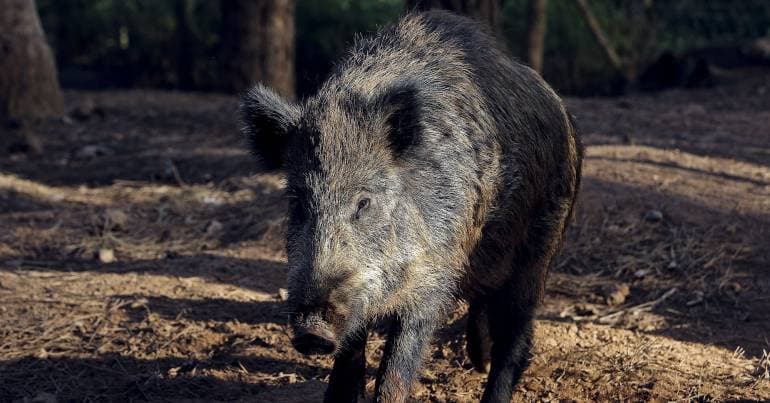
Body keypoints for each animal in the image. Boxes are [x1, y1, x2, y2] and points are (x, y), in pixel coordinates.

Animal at [240, 10, 582, 403]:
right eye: (298, 200)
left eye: (364, 202)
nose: (312, 332)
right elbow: (349, 357)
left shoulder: (433, 275)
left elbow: (397, 369)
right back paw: (477, 360)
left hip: (540, 248)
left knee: (516, 336)